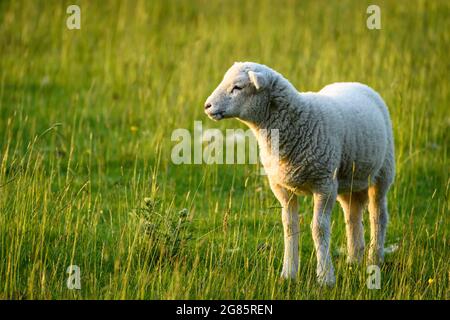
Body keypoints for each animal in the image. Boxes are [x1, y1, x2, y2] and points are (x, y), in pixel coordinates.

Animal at [203, 62, 394, 284]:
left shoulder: (324, 184)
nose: (207, 106)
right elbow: (289, 228)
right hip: (349, 180)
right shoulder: (282, 187)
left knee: (378, 215)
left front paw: (325, 277)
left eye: (238, 87)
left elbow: (319, 229)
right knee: (352, 215)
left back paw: (375, 258)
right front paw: (288, 273)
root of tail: (355, 83)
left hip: (383, 172)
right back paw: (354, 259)